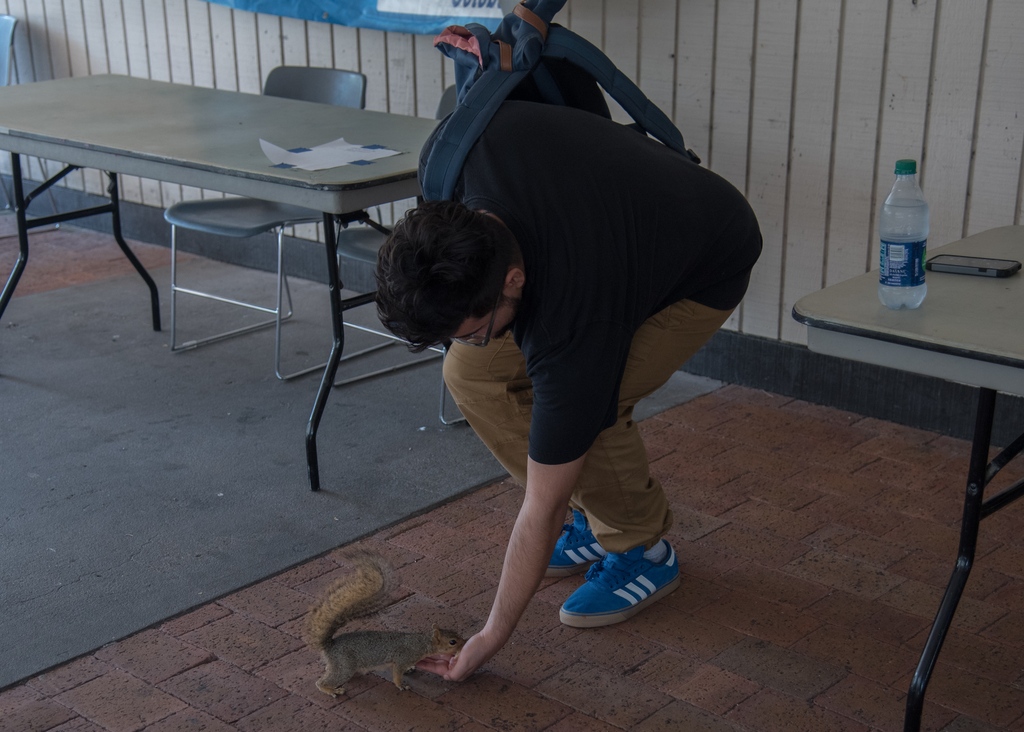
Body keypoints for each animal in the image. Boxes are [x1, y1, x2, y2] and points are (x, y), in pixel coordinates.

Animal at [307, 552, 465, 697]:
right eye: (452, 642)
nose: (464, 644)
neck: (421, 643)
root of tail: (329, 646)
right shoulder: (402, 658)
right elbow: (397, 674)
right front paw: (401, 685)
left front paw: (409, 669)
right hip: (344, 667)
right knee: (322, 681)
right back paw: (331, 690)